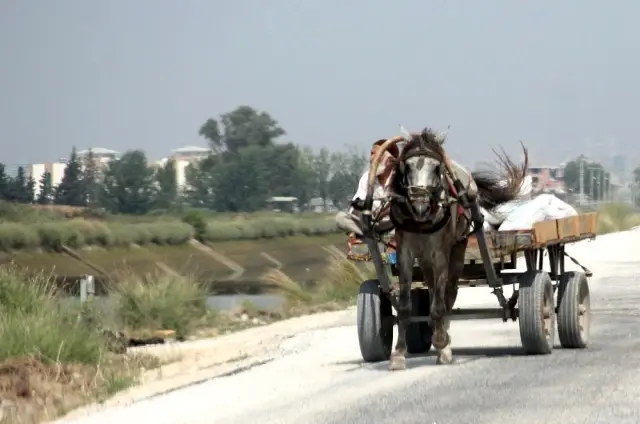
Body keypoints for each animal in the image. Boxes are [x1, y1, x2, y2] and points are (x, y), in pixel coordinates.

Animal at [364, 127, 528, 370]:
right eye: (407, 166)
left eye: (436, 167)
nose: (420, 205)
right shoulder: (405, 253)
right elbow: (404, 306)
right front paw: (399, 354)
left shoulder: (441, 253)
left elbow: (439, 305)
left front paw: (442, 343)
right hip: (425, 258)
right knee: (433, 288)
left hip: (457, 248)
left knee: (449, 293)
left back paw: (444, 341)